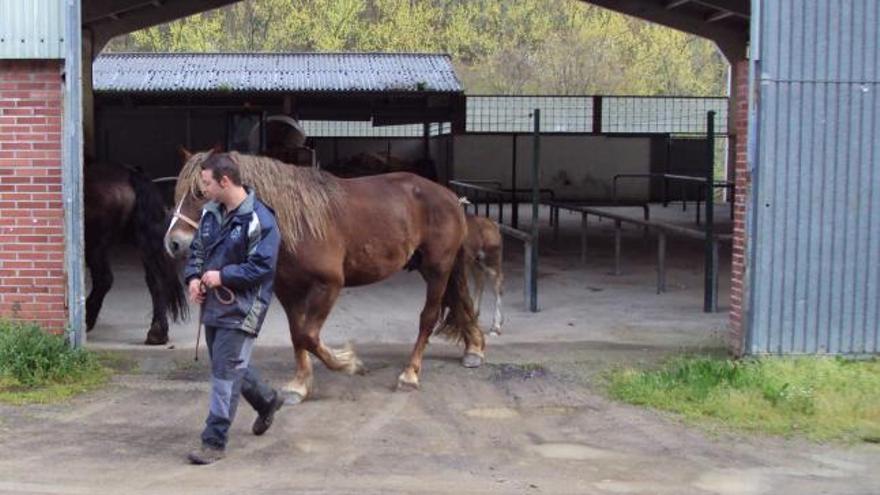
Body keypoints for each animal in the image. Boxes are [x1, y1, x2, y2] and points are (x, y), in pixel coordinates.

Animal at [84, 163, 187, 344]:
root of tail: (130, 174)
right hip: (142, 243)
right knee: (156, 280)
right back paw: (158, 332)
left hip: (95, 245)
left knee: (104, 279)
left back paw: (87, 319)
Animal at [162, 149, 484, 402]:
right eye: (177, 194)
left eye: (200, 193)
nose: (173, 243)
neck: (296, 223)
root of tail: (450, 196)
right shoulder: (287, 289)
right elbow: (297, 334)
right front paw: (300, 385)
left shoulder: (329, 285)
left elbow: (308, 335)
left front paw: (348, 363)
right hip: (433, 268)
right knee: (461, 302)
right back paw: (474, 349)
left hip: (437, 269)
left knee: (428, 317)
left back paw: (410, 374)